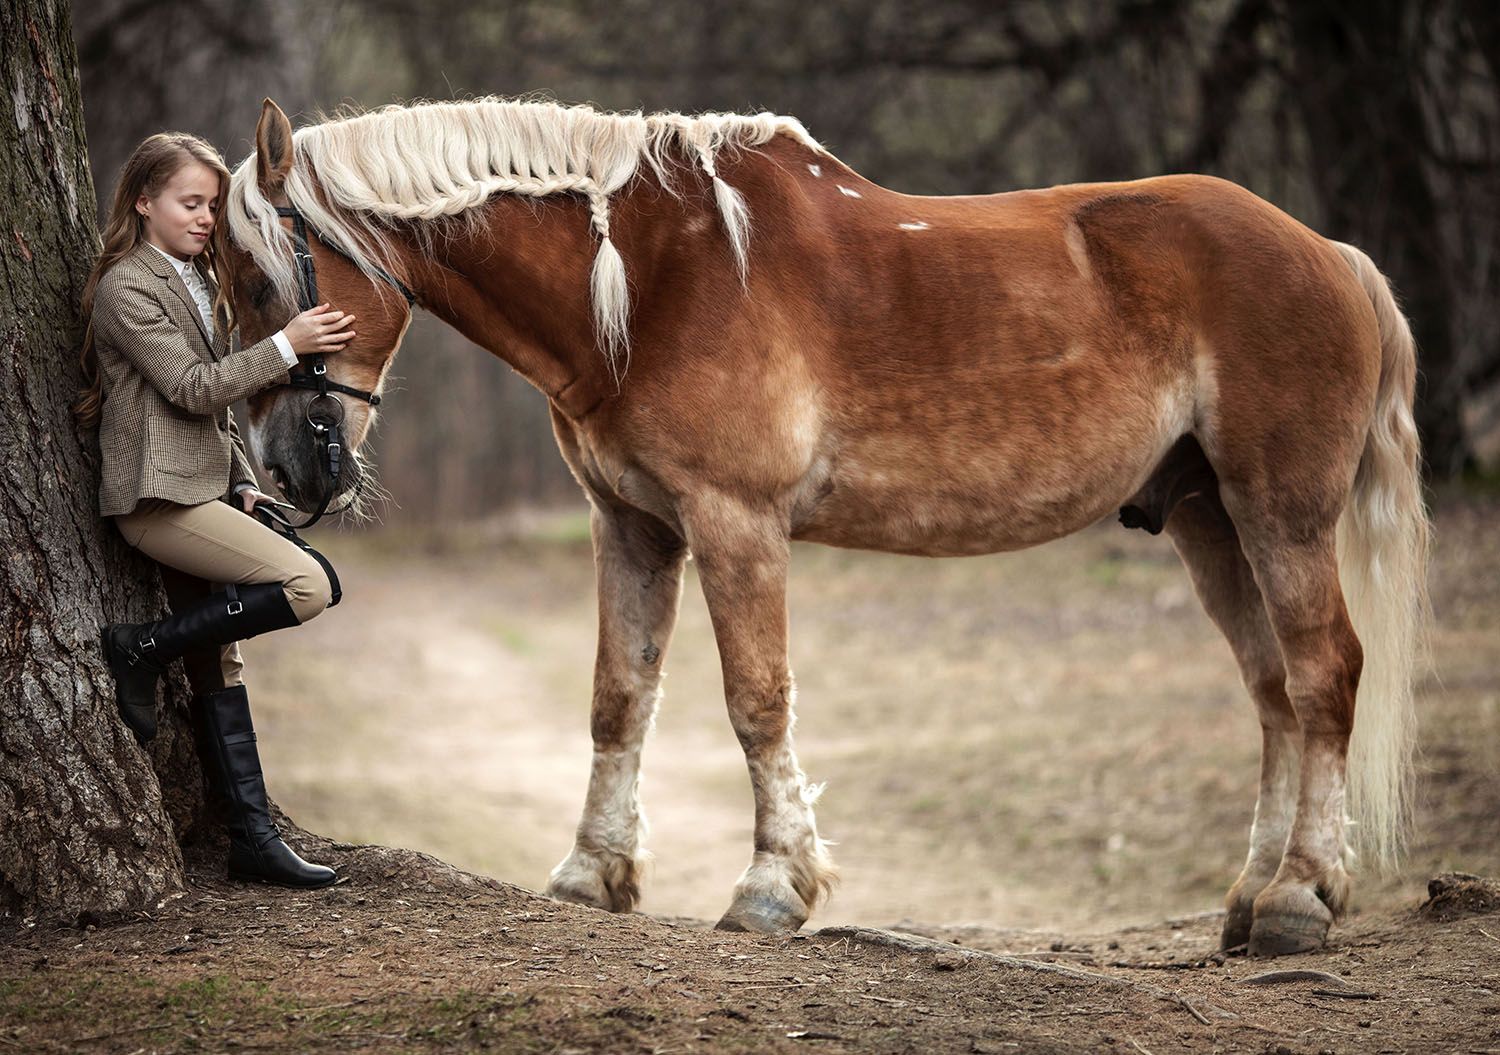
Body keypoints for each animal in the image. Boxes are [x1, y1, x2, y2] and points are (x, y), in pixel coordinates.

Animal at [225, 99, 1428, 960]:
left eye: (264, 281)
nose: (288, 465)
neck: (649, 281)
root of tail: (1332, 253)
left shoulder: (735, 522)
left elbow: (757, 701)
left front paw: (771, 888)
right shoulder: (632, 527)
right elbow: (620, 699)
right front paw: (591, 874)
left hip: (1280, 513)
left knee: (1324, 674)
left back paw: (1302, 898)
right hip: (1206, 519)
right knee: (1273, 692)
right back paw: (1252, 894)